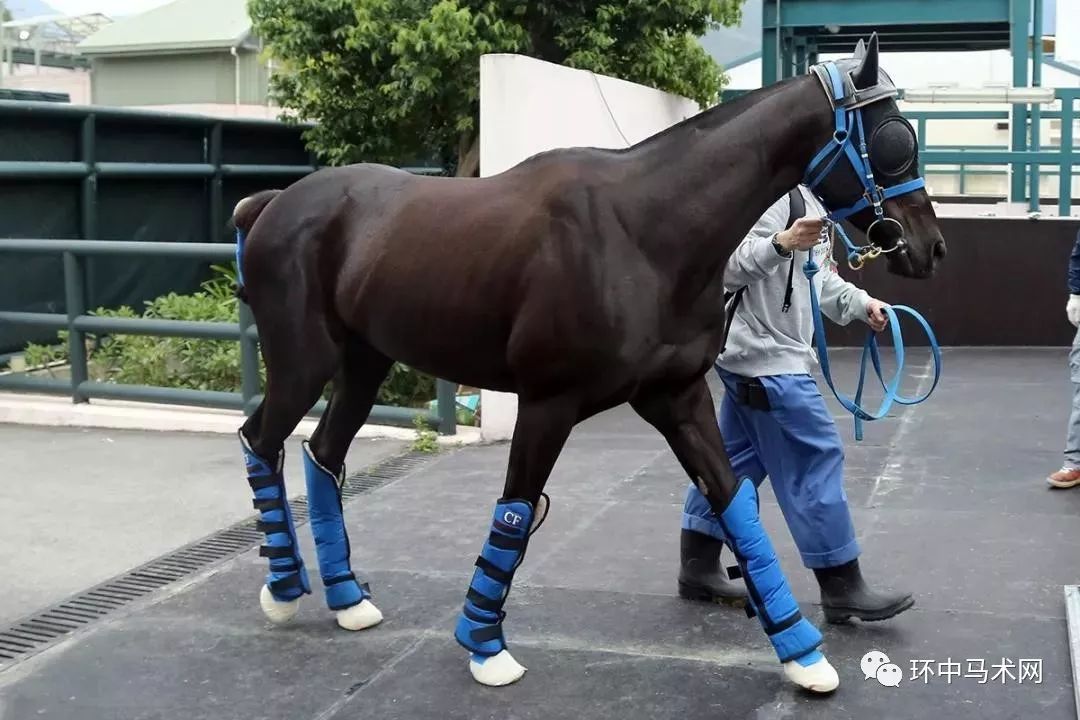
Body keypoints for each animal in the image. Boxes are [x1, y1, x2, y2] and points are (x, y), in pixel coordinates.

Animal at [230, 36, 946, 695]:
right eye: (895, 139)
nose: (930, 247)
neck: (644, 229)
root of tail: (276, 203)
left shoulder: (677, 399)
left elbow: (733, 503)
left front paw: (800, 652)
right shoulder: (548, 403)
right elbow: (516, 511)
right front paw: (484, 644)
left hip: (365, 361)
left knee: (324, 453)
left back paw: (347, 597)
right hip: (303, 361)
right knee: (260, 439)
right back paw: (285, 588)